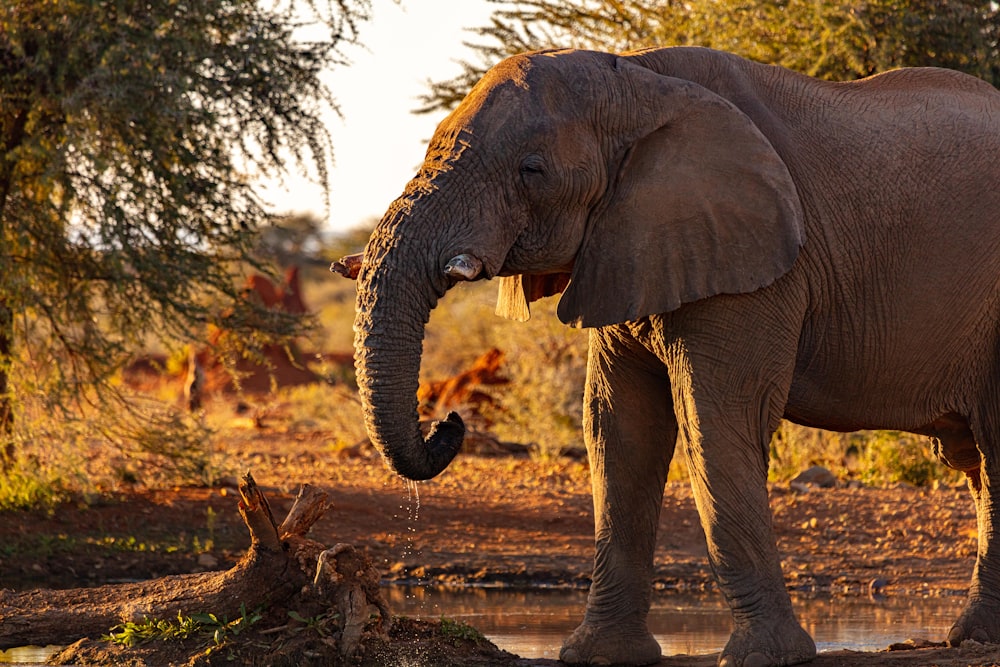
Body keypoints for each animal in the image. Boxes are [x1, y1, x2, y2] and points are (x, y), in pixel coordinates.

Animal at [342, 47, 1000, 667]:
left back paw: (971, 637)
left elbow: (715, 419)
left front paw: (766, 658)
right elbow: (618, 427)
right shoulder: (631, 244)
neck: (637, 80)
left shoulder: (751, 260)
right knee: (974, 459)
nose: (448, 422)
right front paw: (598, 656)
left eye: (532, 170)